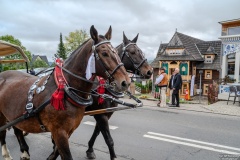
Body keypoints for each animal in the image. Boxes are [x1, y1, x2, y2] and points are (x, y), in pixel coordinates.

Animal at [0, 25, 130, 160]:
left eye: (117, 52)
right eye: (104, 53)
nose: (125, 82)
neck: (67, 89)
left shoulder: (69, 130)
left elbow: (56, 152)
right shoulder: (60, 132)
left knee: (16, 129)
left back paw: (24, 151)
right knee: (3, 132)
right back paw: (7, 154)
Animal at [83, 31, 153, 159]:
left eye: (141, 51)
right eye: (132, 52)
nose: (149, 71)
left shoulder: (106, 114)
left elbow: (97, 132)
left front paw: (90, 149)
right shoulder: (100, 115)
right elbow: (108, 139)